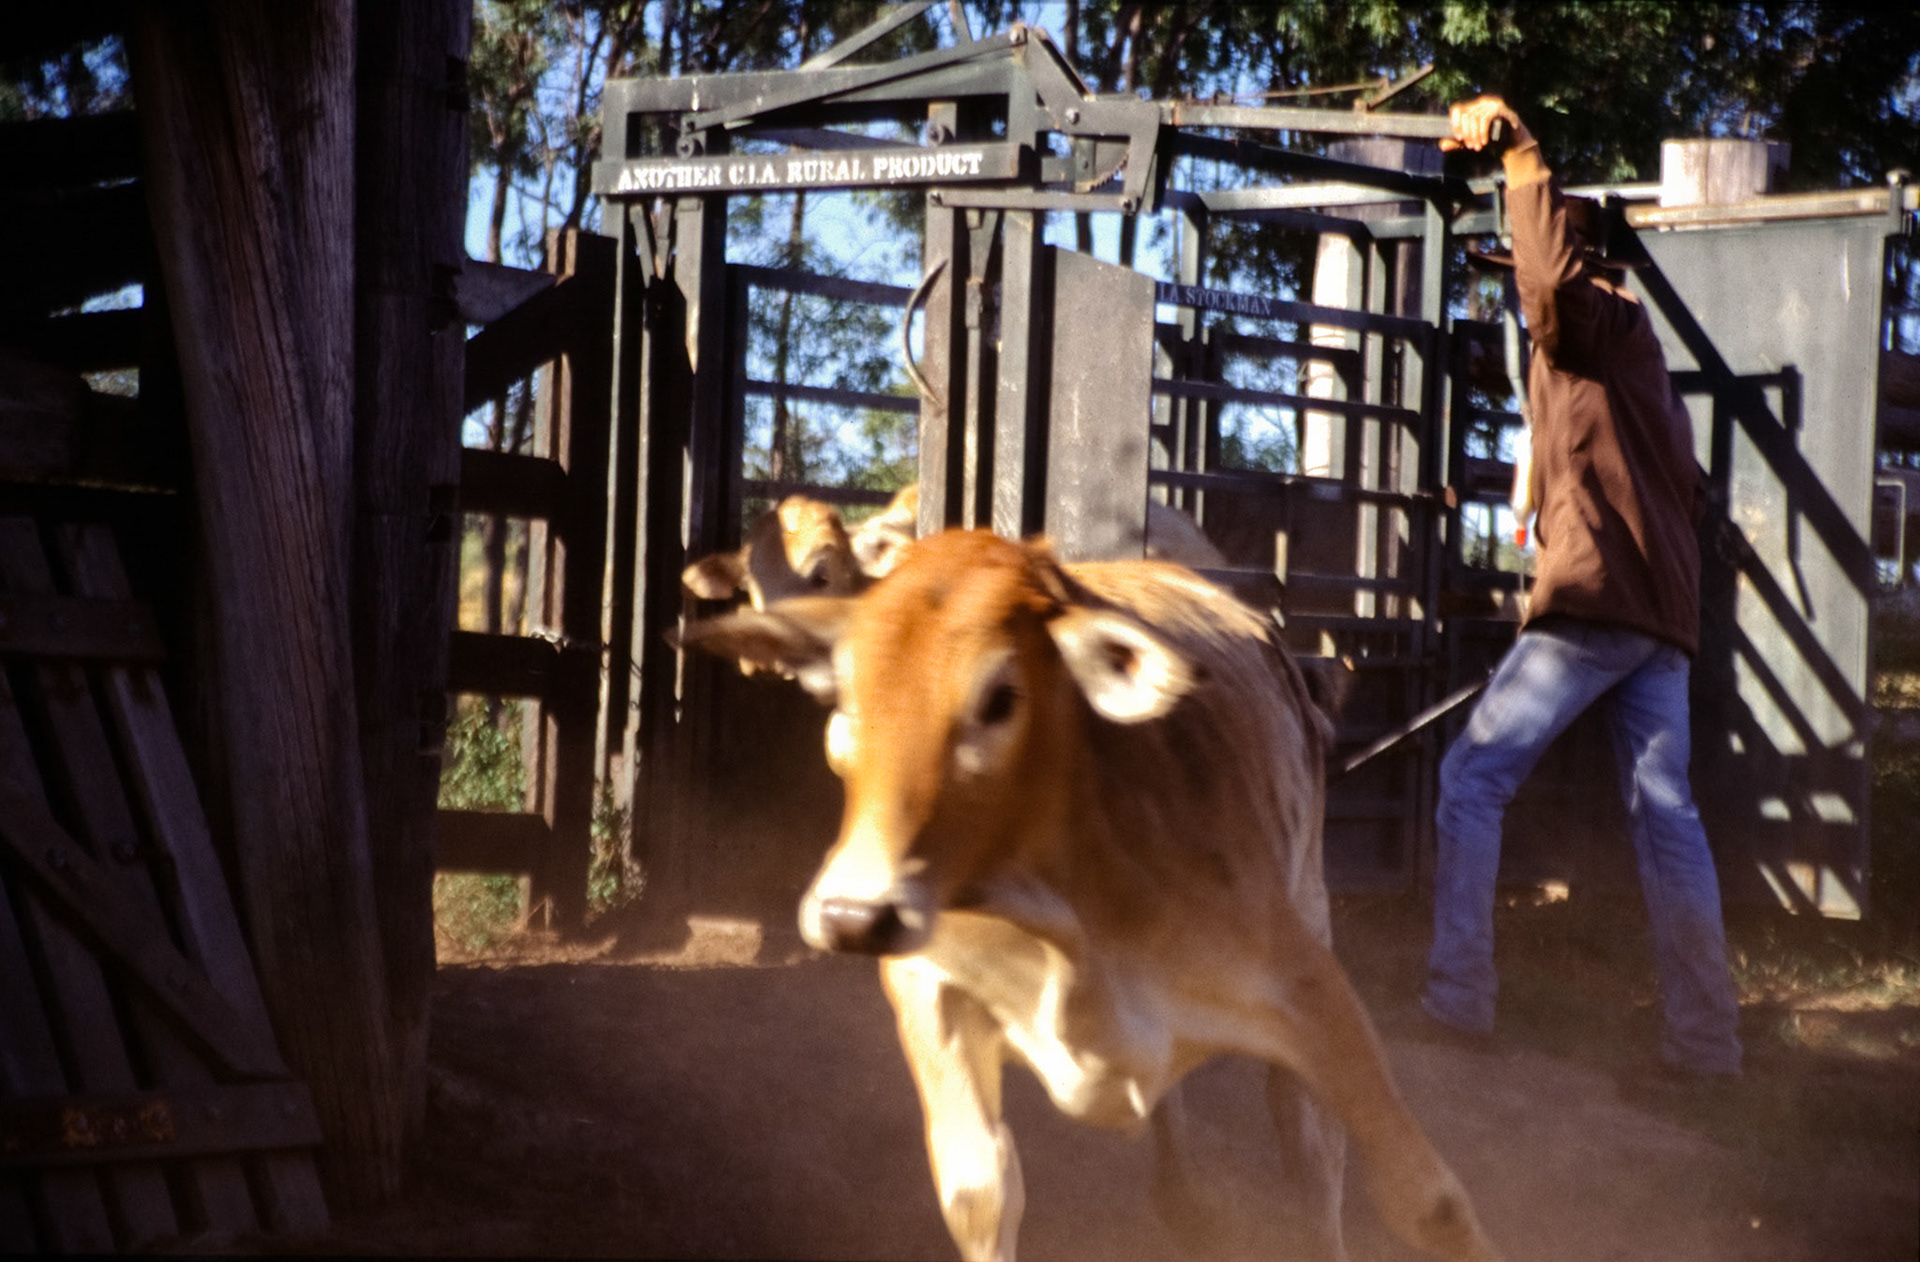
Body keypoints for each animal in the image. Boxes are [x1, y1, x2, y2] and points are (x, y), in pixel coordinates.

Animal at [678, 528, 1497, 1262]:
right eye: (846, 696)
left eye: (1000, 696)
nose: (854, 914)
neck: (1059, 910)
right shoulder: (929, 991)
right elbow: (980, 1196)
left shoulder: (1308, 995)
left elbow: (1430, 1203)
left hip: (1312, 907)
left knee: (1309, 1145)